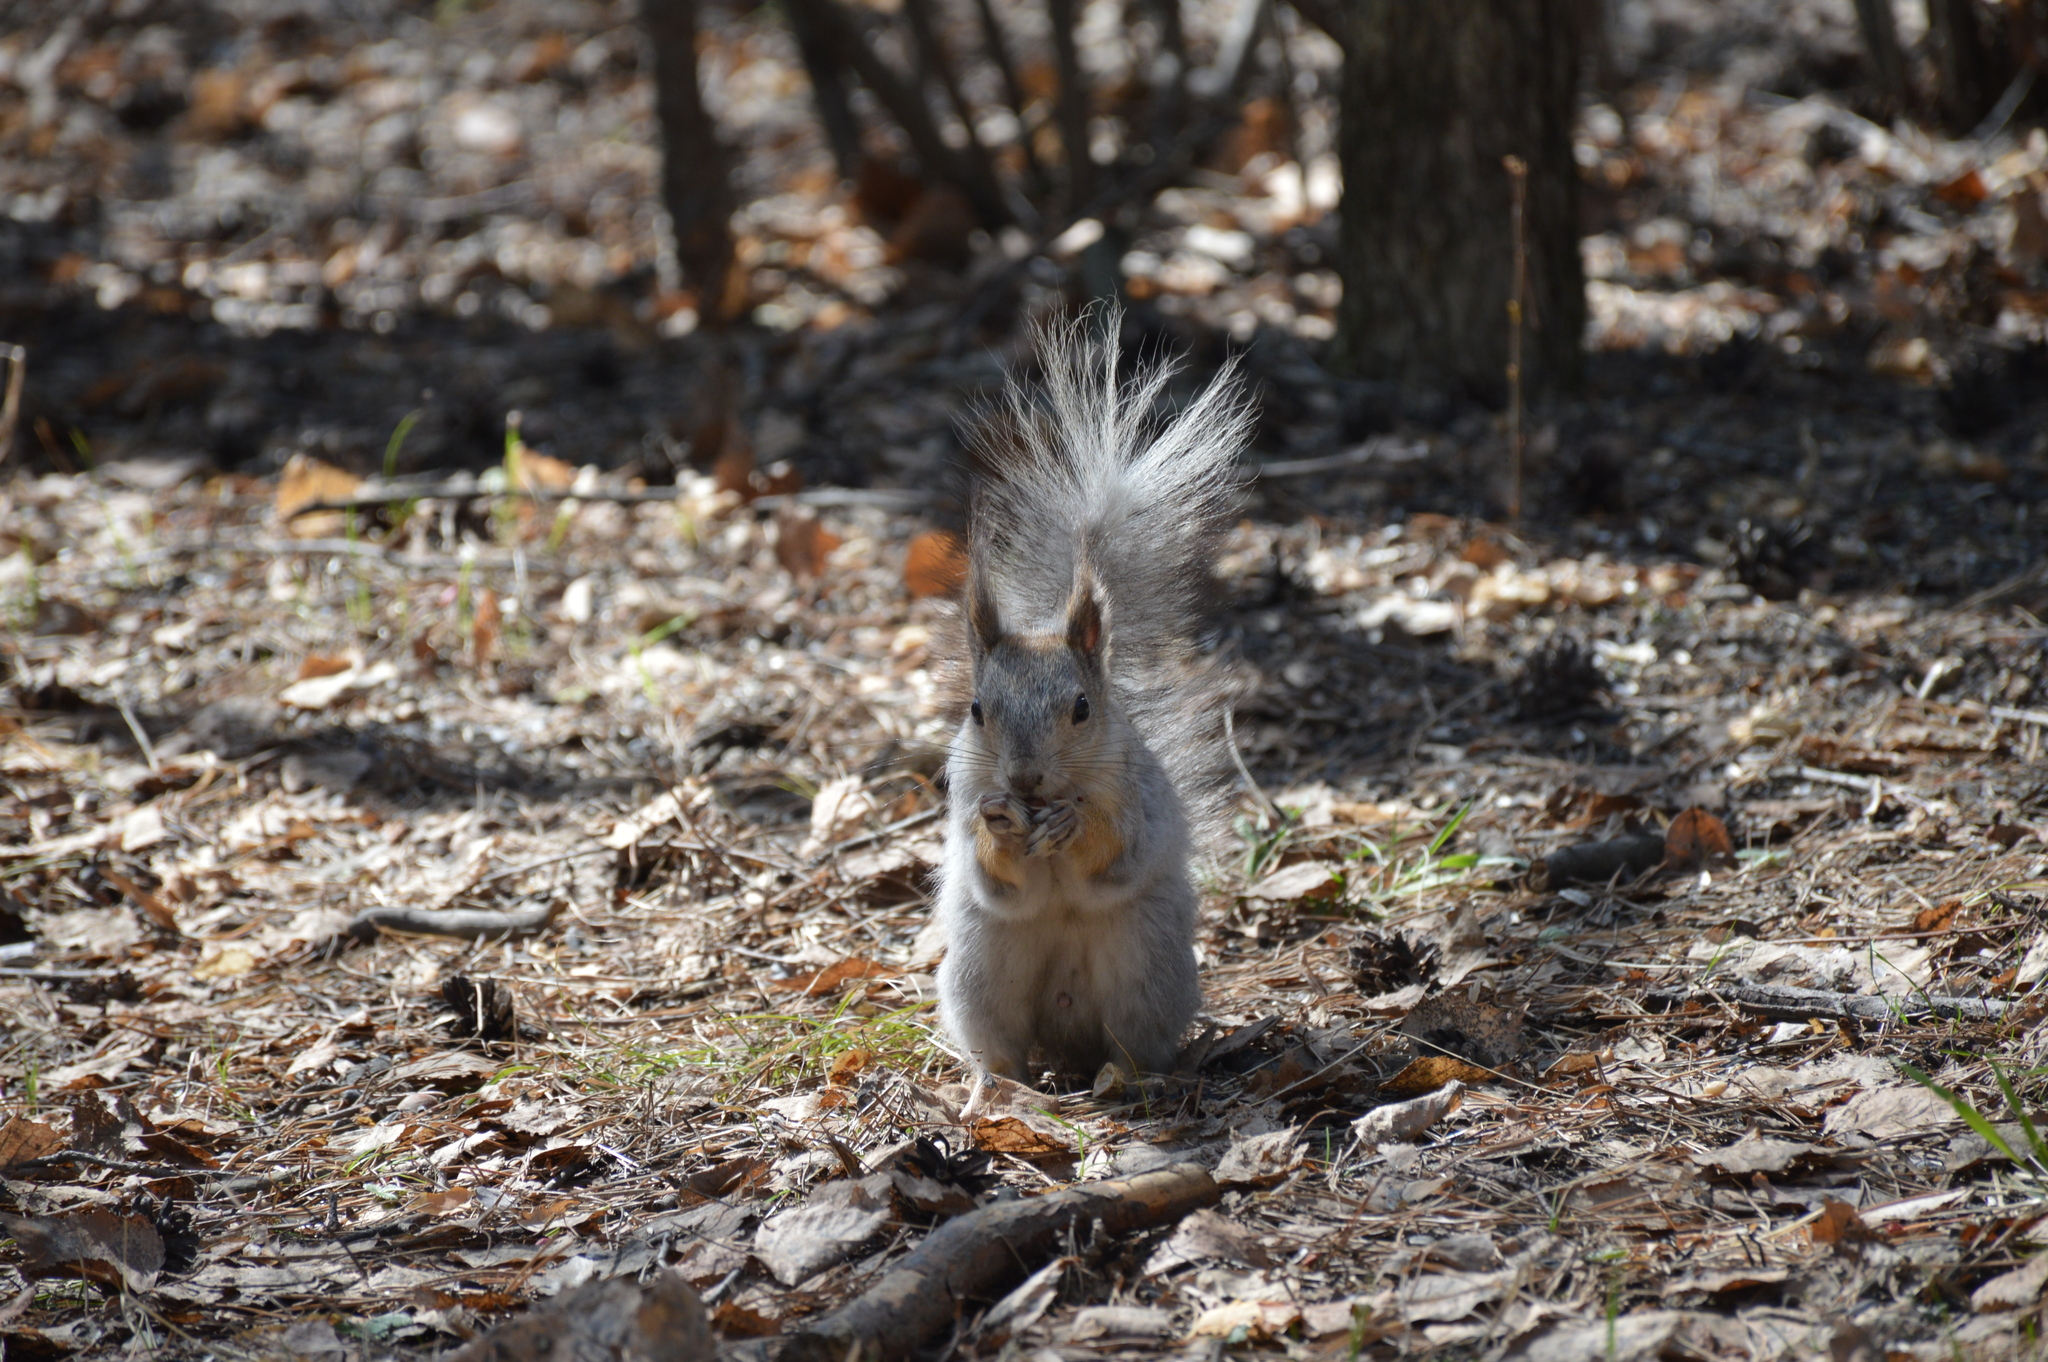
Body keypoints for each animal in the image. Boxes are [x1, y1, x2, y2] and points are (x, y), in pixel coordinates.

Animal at [933, 311, 1245, 1105]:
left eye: (1081, 709)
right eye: (976, 710)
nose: (1024, 780)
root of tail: (1067, 1039)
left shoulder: (1136, 798)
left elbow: (1121, 851)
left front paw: (1074, 824)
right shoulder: (963, 797)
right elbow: (993, 878)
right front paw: (999, 824)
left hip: (1147, 968)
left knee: (1133, 1043)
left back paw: (1117, 1077)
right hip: (980, 971)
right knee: (1004, 1047)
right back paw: (993, 1087)